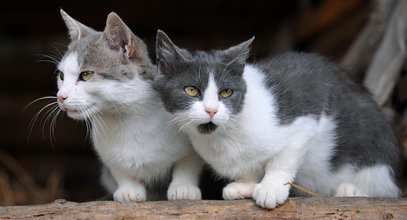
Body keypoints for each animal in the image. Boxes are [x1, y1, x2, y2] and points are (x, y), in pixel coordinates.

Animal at [55, 11, 204, 202]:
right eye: (61, 75)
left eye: (86, 75)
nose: (61, 96)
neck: (126, 119)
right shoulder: (108, 156)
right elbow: (120, 171)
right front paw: (129, 190)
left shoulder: (191, 147)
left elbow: (187, 164)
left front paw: (183, 188)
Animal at [155, 30, 404, 208]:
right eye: (191, 90)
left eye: (226, 92)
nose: (211, 110)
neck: (222, 135)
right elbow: (249, 166)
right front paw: (245, 185)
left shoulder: (307, 108)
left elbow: (284, 159)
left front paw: (271, 188)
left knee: (387, 188)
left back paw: (351, 190)